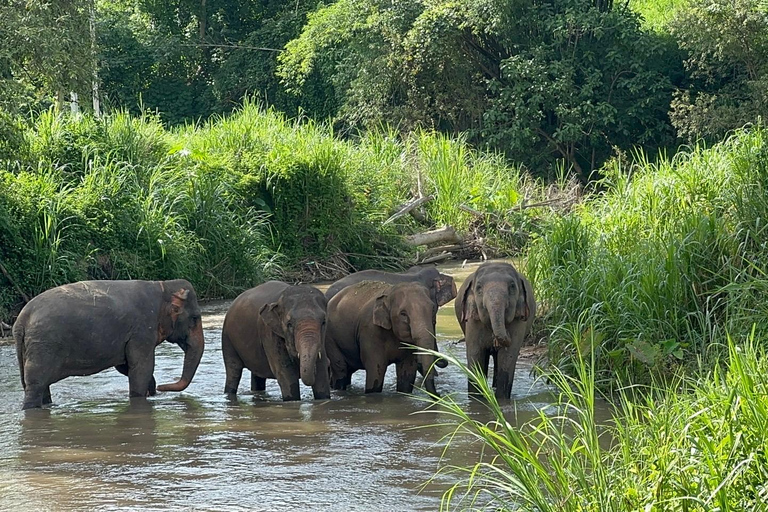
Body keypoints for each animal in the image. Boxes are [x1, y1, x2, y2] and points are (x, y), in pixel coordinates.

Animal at [15, 278, 207, 410]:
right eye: (195, 318)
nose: (162, 387)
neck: (163, 286)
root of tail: (21, 319)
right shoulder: (141, 330)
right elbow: (141, 367)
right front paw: (141, 395)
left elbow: (126, 367)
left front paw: (151, 390)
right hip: (43, 346)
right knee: (35, 384)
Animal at [452, 264, 536, 400]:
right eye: (479, 288)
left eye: (512, 286)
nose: (496, 341)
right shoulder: (473, 319)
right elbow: (475, 353)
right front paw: (476, 399)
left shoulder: (518, 318)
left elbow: (508, 356)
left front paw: (501, 400)